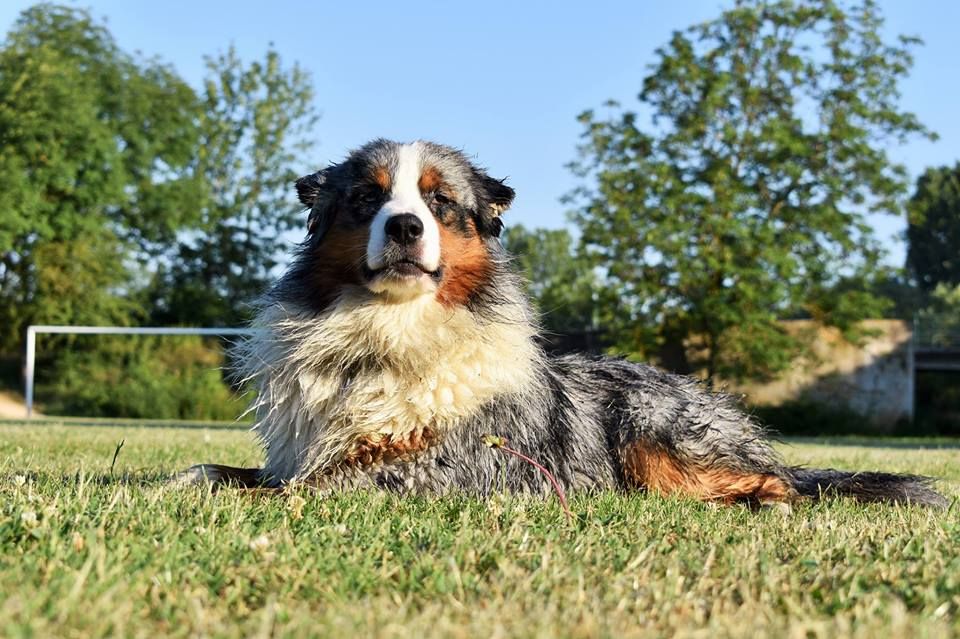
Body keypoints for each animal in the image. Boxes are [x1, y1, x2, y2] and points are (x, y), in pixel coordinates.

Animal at [176, 140, 948, 510]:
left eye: (440, 204)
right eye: (368, 198)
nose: (403, 227)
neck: (385, 334)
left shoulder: (440, 470)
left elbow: (295, 489)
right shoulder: (298, 452)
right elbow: (213, 471)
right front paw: (167, 482)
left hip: (654, 438)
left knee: (783, 484)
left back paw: (769, 503)